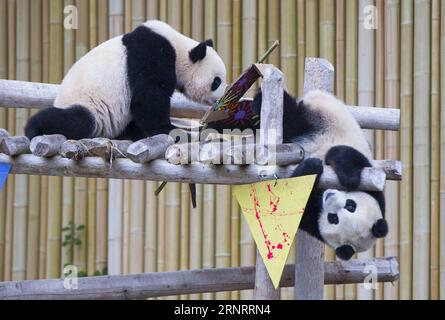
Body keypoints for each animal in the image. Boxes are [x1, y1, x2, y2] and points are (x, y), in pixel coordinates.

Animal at [24, 20, 225, 140]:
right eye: (216, 81)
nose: (222, 98)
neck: (178, 47)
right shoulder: (152, 54)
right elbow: (148, 96)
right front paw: (166, 128)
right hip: (87, 104)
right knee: (77, 121)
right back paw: (34, 128)